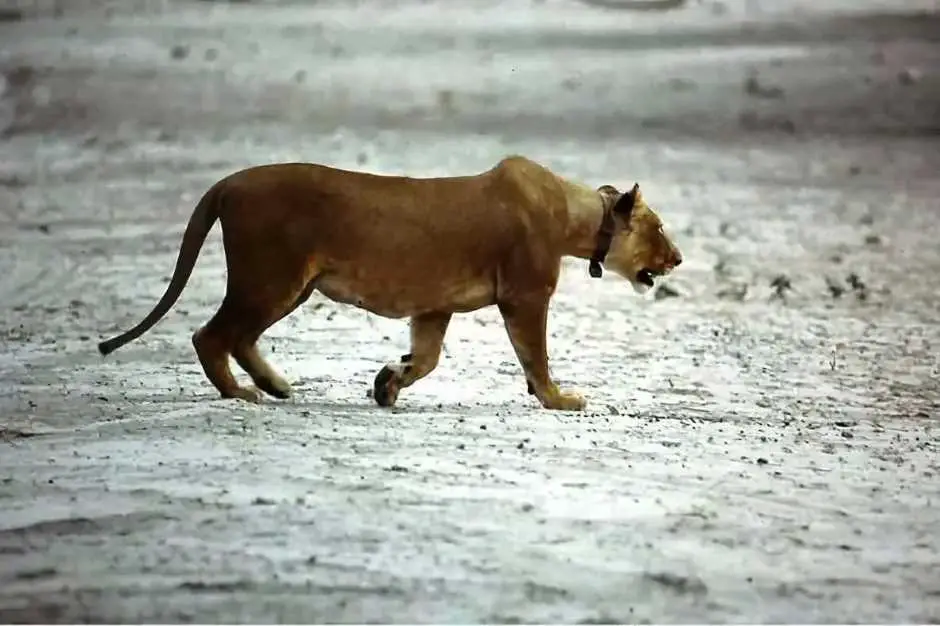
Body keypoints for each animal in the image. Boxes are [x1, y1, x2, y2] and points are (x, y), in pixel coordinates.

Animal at [97, 155, 684, 410]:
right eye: (658, 228)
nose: (678, 259)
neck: (575, 217)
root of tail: (227, 183)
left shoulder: (435, 306)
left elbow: (425, 358)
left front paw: (387, 384)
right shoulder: (525, 296)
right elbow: (535, 356)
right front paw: (560, 399)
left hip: (290, 285)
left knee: (238, 337)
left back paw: (276, 385)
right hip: (271, 277)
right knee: (212, 335)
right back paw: (245, 393)